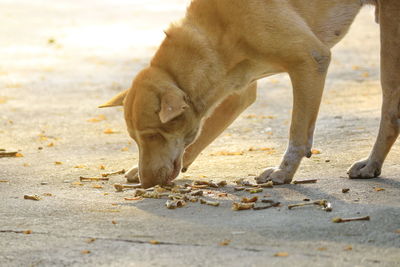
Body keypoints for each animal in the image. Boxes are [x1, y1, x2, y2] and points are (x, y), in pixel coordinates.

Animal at [100, 0, 396, 189]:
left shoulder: (310, 60)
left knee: (390, 112)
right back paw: (372, 166)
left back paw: (371, 163)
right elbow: (199, 136)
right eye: (135, 139)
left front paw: (283, 173)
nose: (147, 184)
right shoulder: (237, 93)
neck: (217, 29)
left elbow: (298, 133)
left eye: (153, 136)